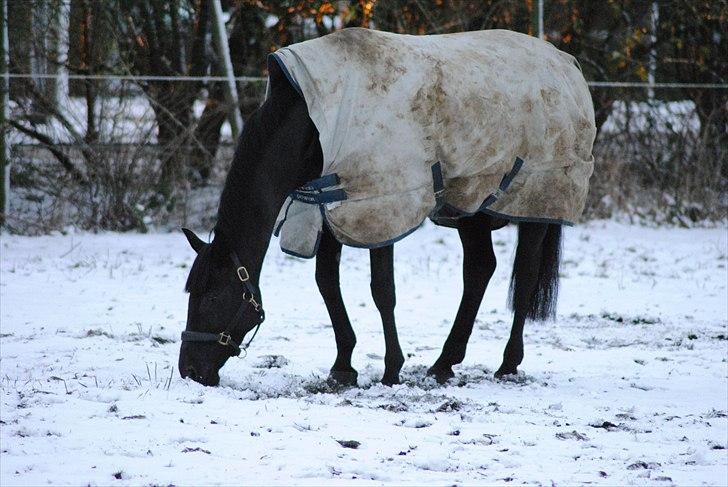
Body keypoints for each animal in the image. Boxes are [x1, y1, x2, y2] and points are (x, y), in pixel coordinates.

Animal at [179, 29, 596, 388]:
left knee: (523, 277)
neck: (311, 125)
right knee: (480, 269)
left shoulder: (382, 207)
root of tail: (567, 64)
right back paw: (444, 363)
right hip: (471, 205)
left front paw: (391, 369)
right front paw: (343, 366)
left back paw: (508, 364)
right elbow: (326, 283)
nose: (189, 371)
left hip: (537, 200)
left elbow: (382, 291)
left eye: (212, 296)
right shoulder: (327, 208)